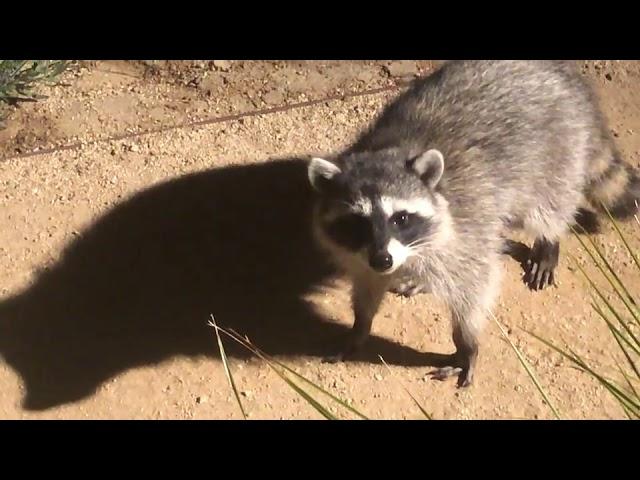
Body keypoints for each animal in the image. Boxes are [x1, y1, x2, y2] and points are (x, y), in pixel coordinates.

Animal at [308, 61, 636, 390]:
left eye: (400, 218)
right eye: (357, 222)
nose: (384, 260)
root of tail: (566, 76)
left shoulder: (465, 226)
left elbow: (474, 287)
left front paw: (466, 343)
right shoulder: (361, 252)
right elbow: (367, 282)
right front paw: (360, 324)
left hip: (556, 149)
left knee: (548, 202)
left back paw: (548, 238)